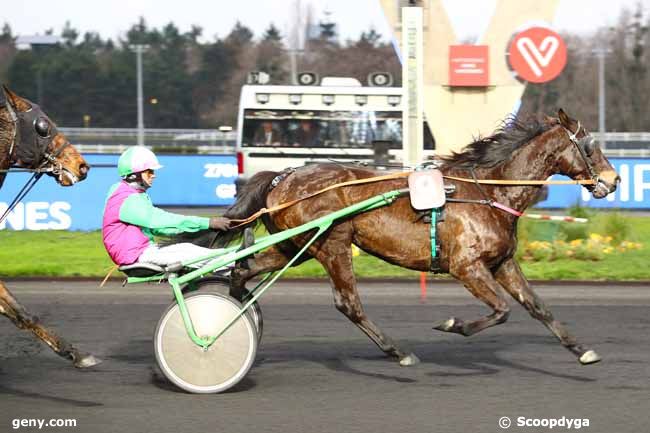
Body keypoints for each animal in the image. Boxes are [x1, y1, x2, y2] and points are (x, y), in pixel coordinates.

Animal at [202, 109, 616, 366]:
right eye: (590, 145)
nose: (613, 181)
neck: (488, 192)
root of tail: (282, 176)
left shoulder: (503, 263)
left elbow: (537, 307)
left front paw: (582, 350)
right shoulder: (466, 266)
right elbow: (502, 310)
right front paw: (453, 324)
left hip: (295, 244)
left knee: (243, 270)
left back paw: (237, 312)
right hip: (332, 243)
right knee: (348, 303)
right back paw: (398, 351)